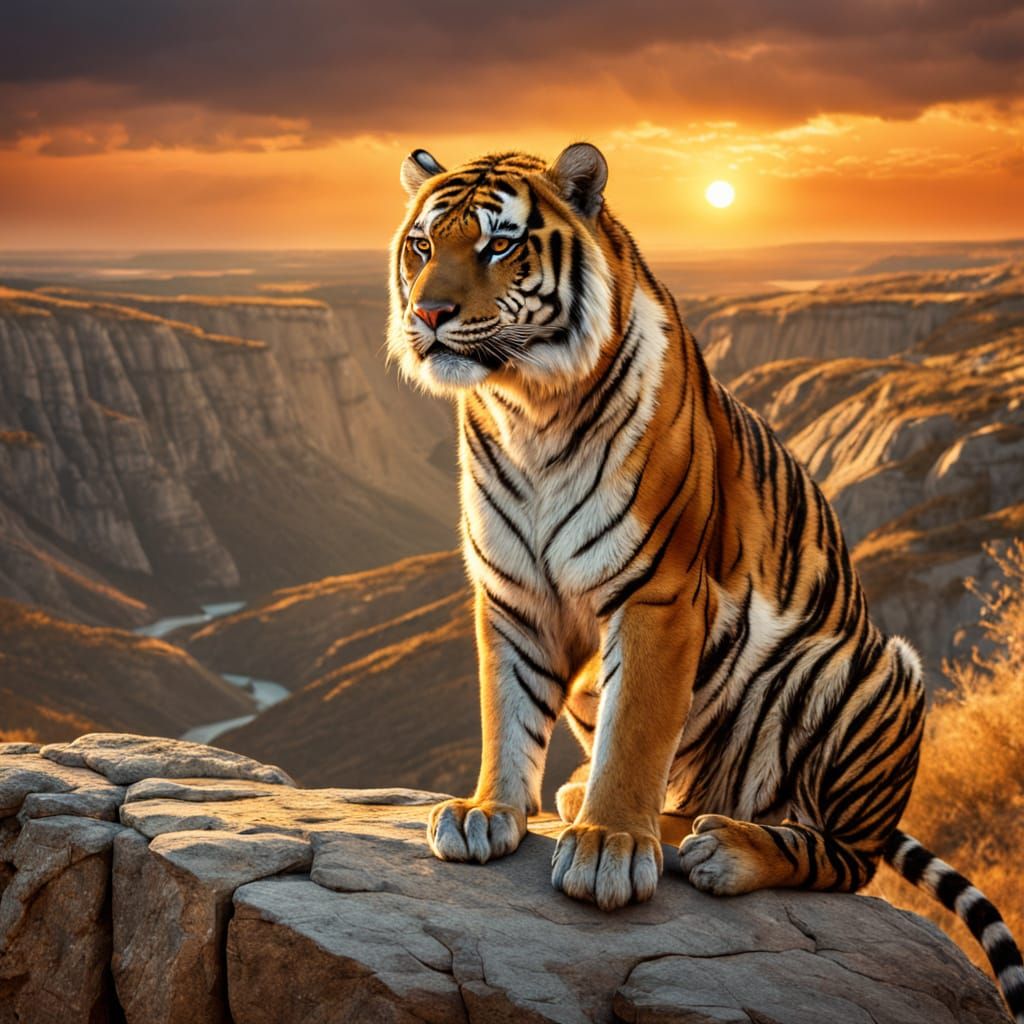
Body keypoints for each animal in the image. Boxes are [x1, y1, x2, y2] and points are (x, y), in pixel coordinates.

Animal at [386, 143, 1024, 1021]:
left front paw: (609, 847)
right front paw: (489, 813)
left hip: (876, 672)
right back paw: (636, 812)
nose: (429, 315)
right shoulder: (513, 593)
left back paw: (720, 848)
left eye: (498, 246)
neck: (528, 407)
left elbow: (637, 728)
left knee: (843, 855)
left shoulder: (657, 592)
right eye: (422, 246)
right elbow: (506, 709)